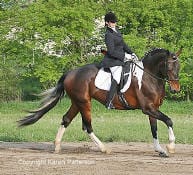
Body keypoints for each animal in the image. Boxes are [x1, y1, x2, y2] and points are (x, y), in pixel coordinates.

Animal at [18, 47, 182, 157]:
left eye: (179, 66)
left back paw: (57, 147)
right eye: (169, 65)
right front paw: (171, 146)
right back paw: (104, 148)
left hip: (77, 102)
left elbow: (154, 129)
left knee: (66, 119)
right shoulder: (148, 108)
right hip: (84, 103)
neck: (148, 76)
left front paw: (160, 150)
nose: (176, 89)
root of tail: (70, 73)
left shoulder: (152, 108)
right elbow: (169, 120)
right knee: (87, 126)